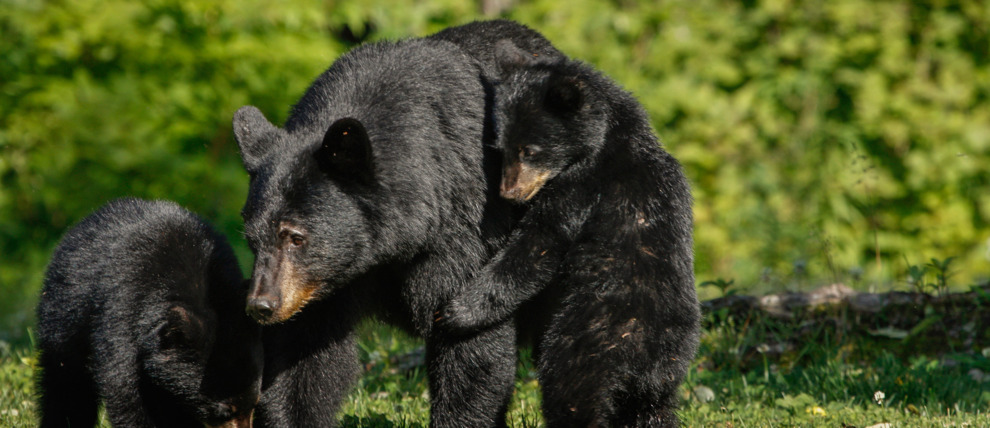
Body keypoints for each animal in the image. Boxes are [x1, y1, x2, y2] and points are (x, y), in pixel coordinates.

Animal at [37, 199, 266, 428]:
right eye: (223, 412)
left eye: (254, 404)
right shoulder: (123, 311)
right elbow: (124, 392)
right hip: (64, 320)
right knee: (66, 387)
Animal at [232, 20, 560, 428]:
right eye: (252, 239)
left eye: (295, 236)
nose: (261, 306)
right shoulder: (324, 281)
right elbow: (302, 351)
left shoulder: (466, 230)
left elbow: (469, 343)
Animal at [442, 41, 704, 428]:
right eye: (501, 148)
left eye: (530, 150)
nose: (510, 193)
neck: (610, 137)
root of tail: (643, 359)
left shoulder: (580, 189)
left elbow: (538, 246)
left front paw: (456, 311)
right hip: (665, 377)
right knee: (653, 412)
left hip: (583, 341)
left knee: (571, 394)